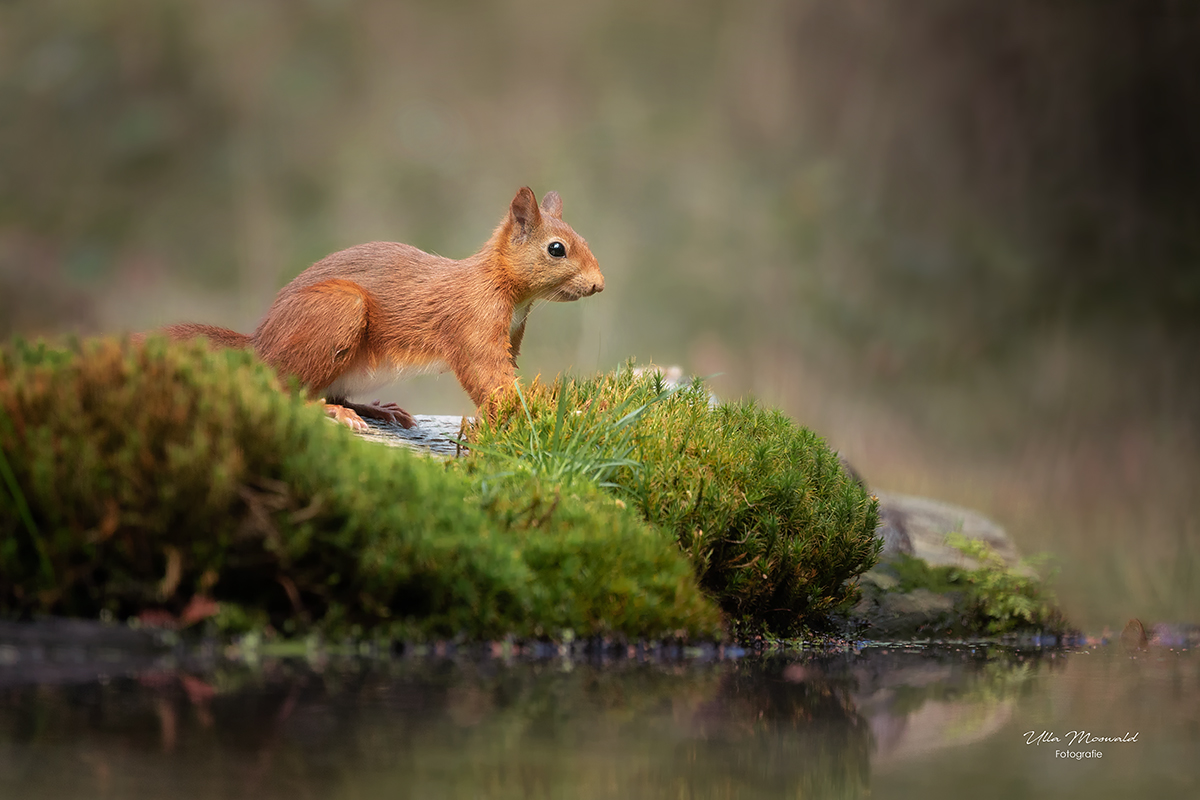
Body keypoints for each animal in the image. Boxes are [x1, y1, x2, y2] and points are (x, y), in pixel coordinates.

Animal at [158, 188, 604, 431]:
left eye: (583, 237)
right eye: (557, 249)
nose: (599, 284)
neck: (508, 291)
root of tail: (259, 344)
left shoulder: (511, 333)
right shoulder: (471, 322)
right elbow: (488, 377)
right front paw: (546, 410)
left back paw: (376, 409)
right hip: (338, 311)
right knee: (283, 388)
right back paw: (333, 412)